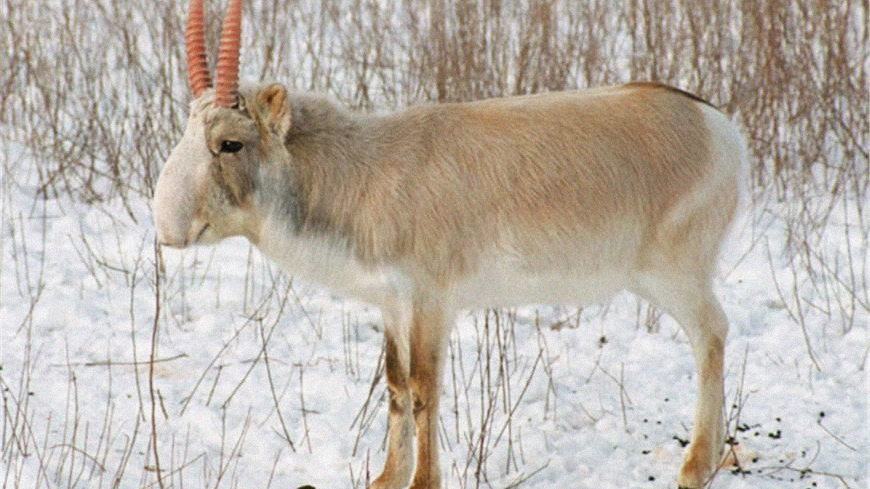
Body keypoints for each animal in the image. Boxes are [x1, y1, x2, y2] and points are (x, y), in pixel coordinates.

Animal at [152, 0, 748, 484]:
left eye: (230, 142)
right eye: (186, 133)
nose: (167, 228)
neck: (365, 171)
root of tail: (716, 126)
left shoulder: (431, 301)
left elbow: (423, 388)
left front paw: (421, 482)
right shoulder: (392, 303)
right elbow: (395, 386)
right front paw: (385, 479)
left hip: (673, 275)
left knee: (712, 333)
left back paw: (695, 467)